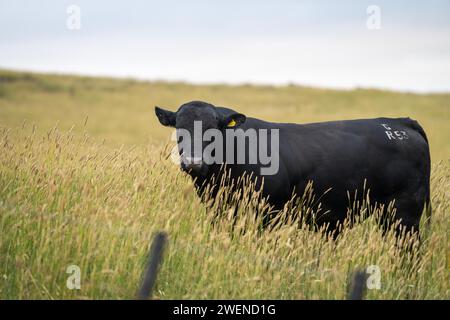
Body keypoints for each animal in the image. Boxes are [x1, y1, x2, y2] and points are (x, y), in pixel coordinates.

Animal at [156, 101, 432, 236]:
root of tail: (398, 122)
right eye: (179, 129)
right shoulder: (220, 210)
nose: (194, 162)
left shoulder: (268, 213)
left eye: (214, 129)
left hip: (405, 212)